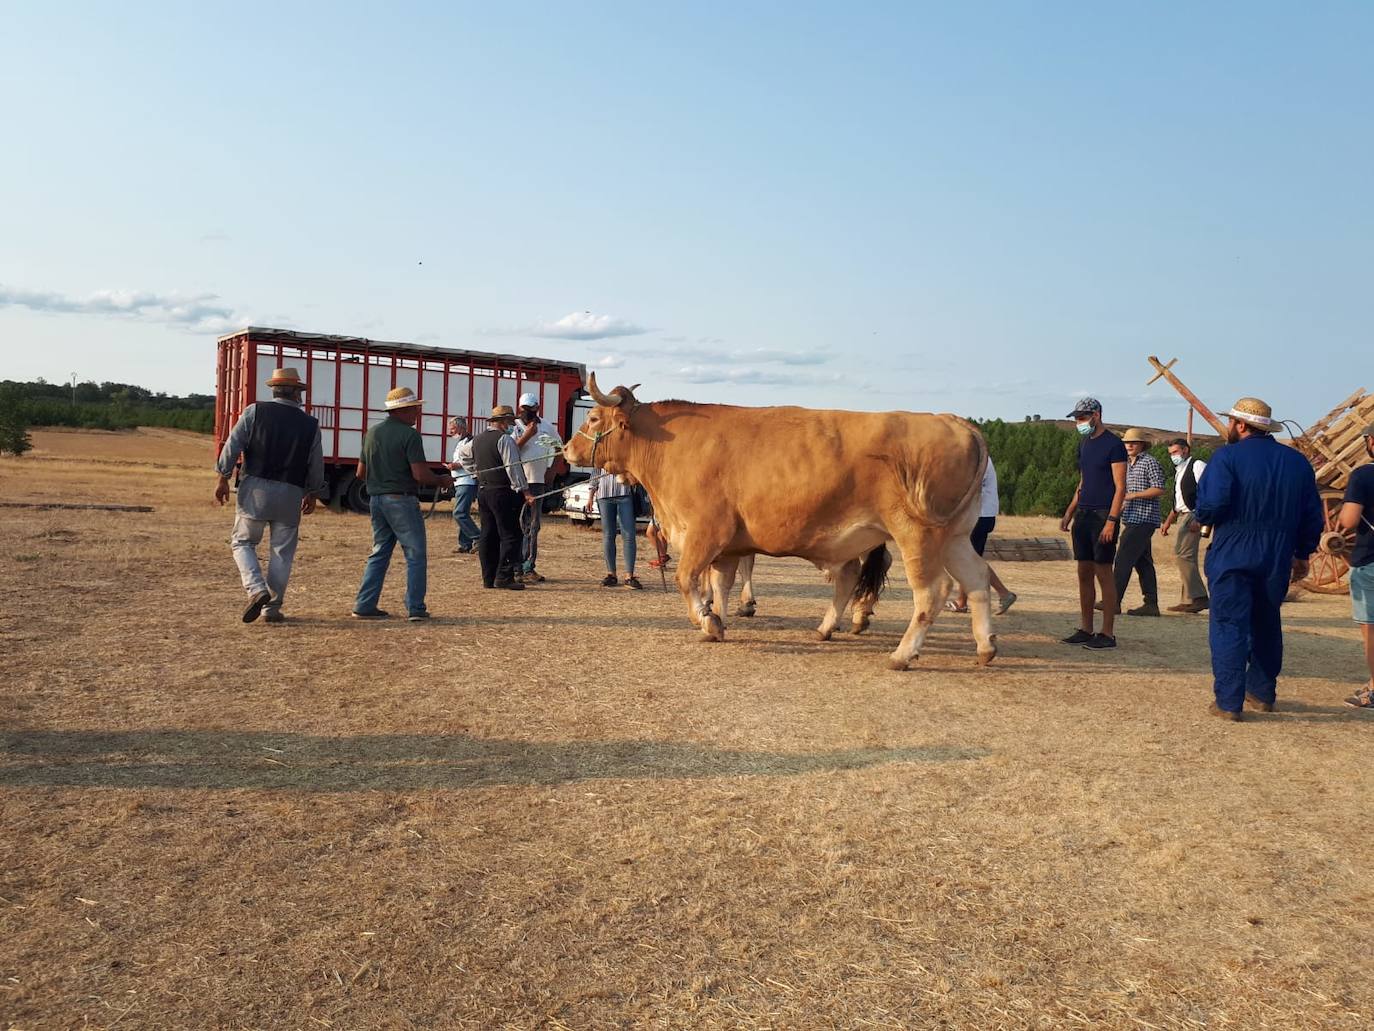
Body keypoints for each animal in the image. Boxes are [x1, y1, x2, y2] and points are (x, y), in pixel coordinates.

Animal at [563, 376, 994, 673]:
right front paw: (718, 619)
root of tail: (956, 422)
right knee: (975, 580)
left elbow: (688, 579)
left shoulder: (707, 531)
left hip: (918, 534)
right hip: (954, 535)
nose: (566, 448)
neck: (671, 449)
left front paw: (707, 621)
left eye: (595, 417)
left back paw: (902, 654)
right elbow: (719, 583)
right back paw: (985, 645)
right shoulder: (728, 545)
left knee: (931, 592)